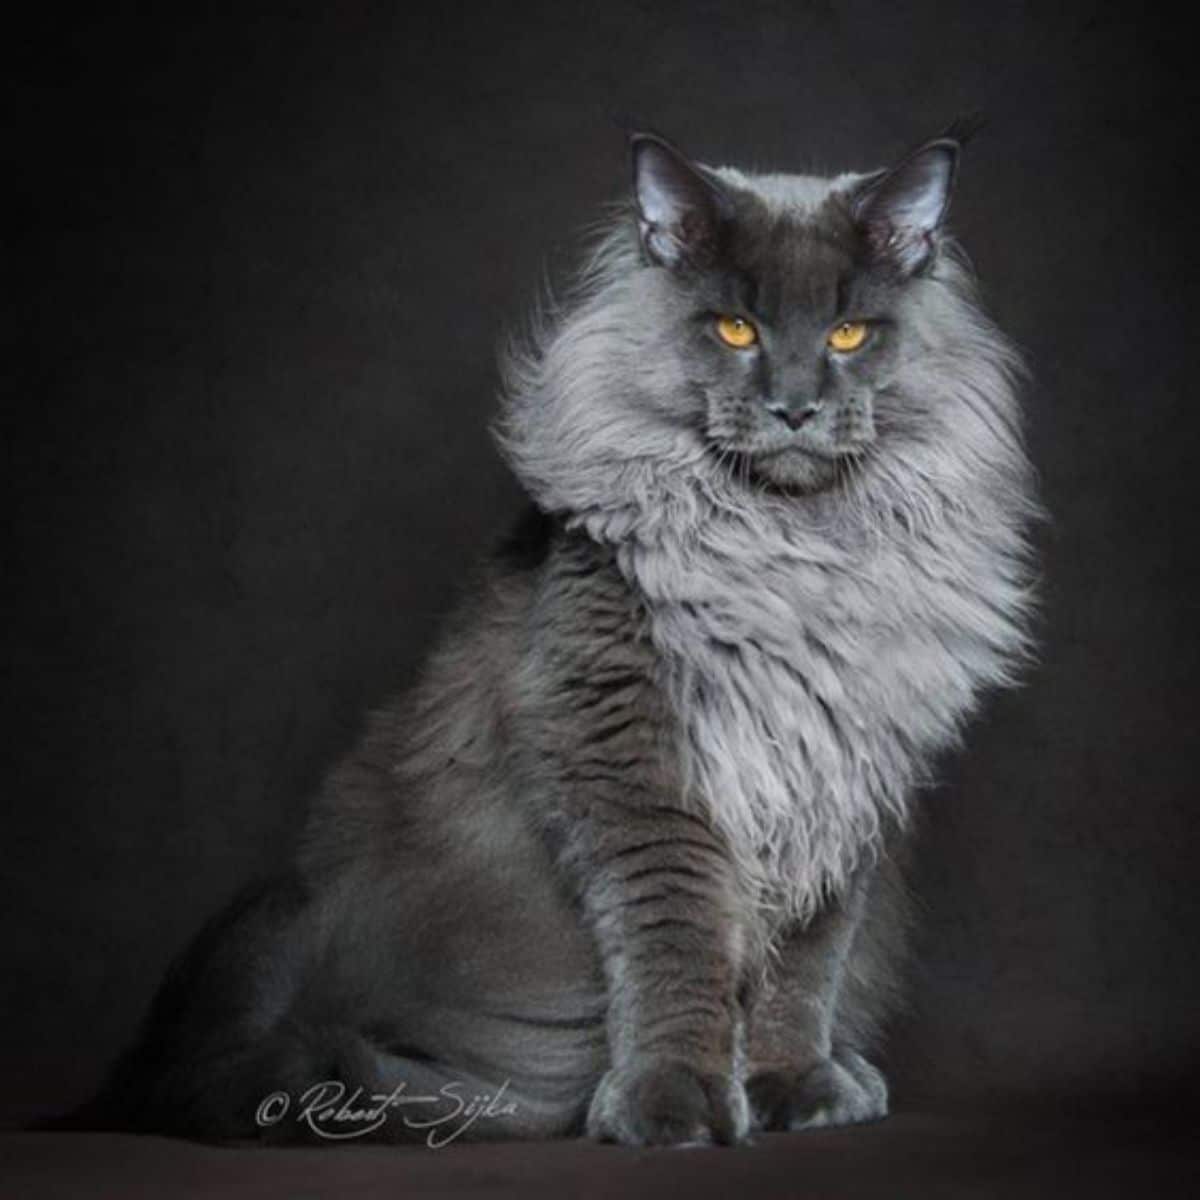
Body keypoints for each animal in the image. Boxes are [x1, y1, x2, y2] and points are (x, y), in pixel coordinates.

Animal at [51, 126, 1036, 1147]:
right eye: (736, 330)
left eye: (848, 334)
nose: (795, 406)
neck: (794, 552)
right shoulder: (636, 764)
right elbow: (678, 947)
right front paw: (672, 1105)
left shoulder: (842, 782)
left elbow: (803, 973)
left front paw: (792, 1087)